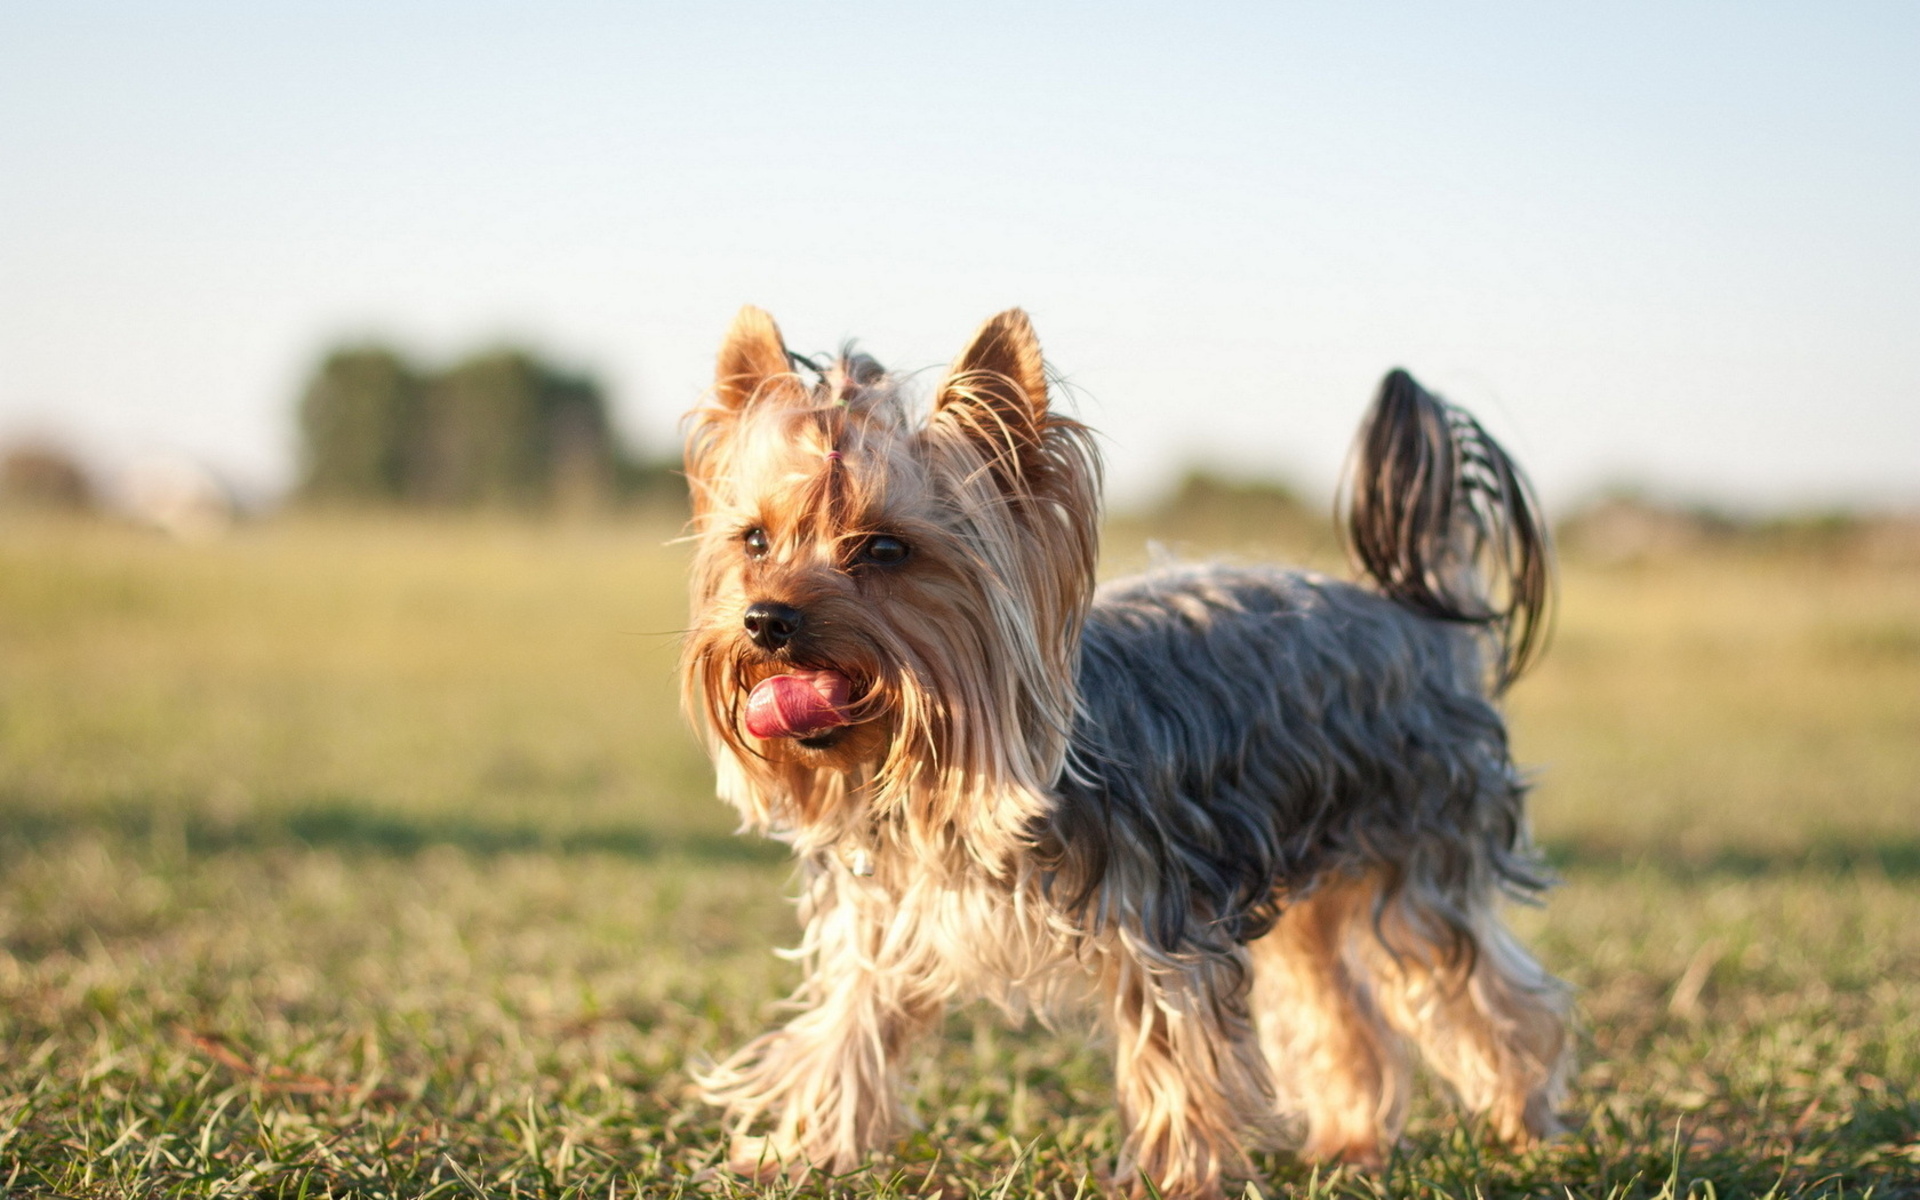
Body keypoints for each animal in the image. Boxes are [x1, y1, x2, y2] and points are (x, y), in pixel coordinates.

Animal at [683, 307, 1566, 1190]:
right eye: (755, 540)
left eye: (887, 549)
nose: (765, 620)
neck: (942, 779)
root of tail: (1415, 614)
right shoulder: (884, 922)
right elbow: (846, 1030)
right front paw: (798, 1151)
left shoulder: (1164, 930)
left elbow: (1176, 1059)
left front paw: (1172, 1180)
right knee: (1336, 1006)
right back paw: (1350, 1141)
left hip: (1419, 854)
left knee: (1483, 994)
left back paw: (1523, 1128)